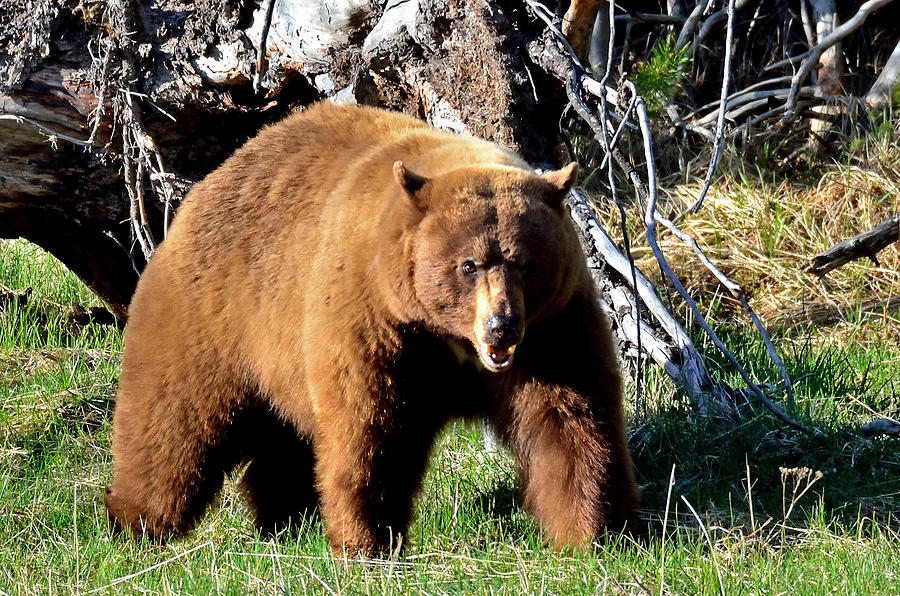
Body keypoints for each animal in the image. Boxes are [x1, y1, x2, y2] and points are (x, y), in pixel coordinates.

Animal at [105, 101, 640, 556]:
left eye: (526, 263)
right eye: (468, 265)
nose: (502, 326)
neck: (449, 339)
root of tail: (204, 187)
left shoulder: (553, 327)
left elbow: (570, 418)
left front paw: (594, 532)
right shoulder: (372, 322)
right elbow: (369, 428)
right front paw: (368, 541)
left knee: (282, 444)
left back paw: (284, 521)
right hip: (213, 318)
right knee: (171, 424)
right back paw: (135, 523)